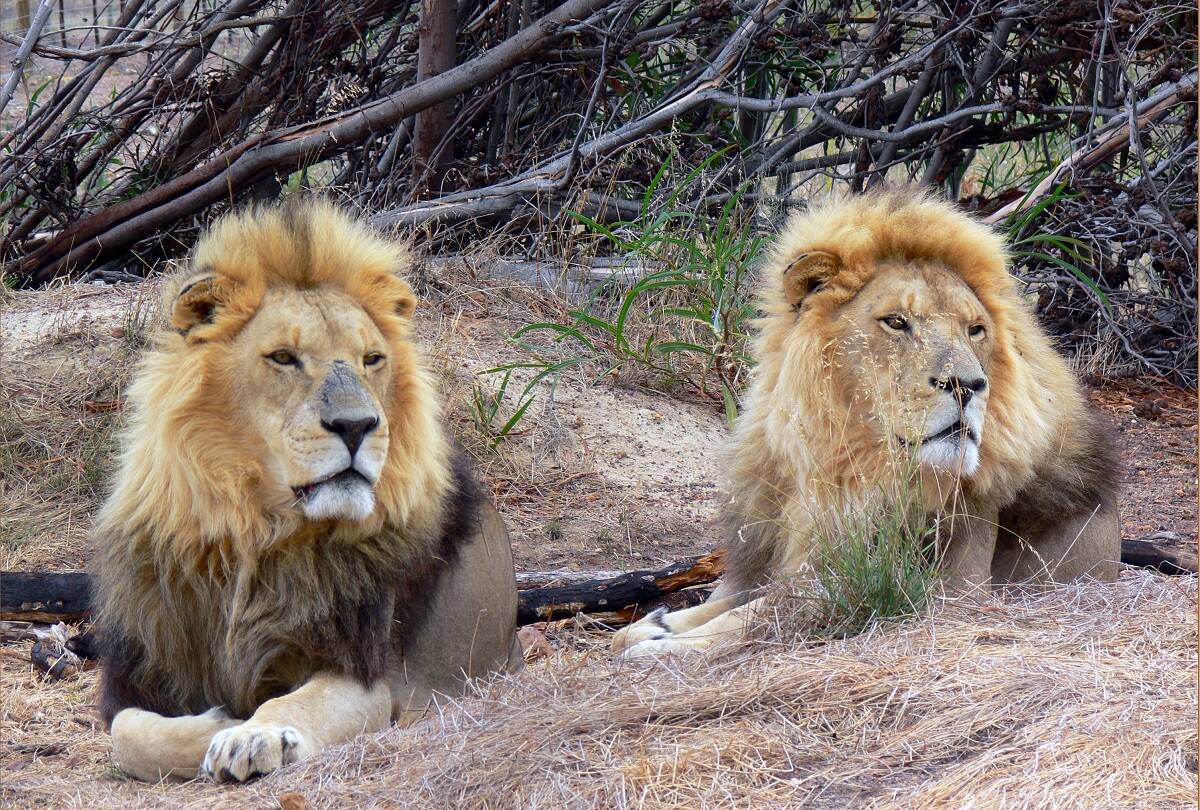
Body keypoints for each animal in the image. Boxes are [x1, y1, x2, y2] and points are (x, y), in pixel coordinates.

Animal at [91, 199, 523, 782]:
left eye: (371, 359)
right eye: (283, 357)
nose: (357, 426)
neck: (256, 526)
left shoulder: (369, 672)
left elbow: (295, 702)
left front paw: (253, 732)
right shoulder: (143, 671)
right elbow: (128, 733)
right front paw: (221, 720)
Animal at [614, 187, 1118, 657]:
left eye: (975, 330)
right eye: (896, 322)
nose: (968, 385)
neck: (841, 469)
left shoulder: (948, 587)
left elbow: (759, 614)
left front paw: (661, 644)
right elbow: (733, 601)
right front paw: (654, 625)